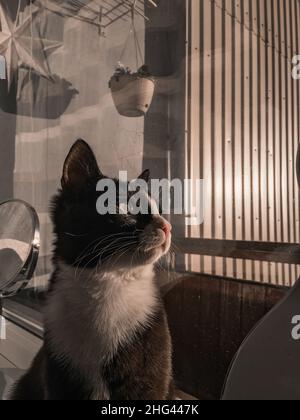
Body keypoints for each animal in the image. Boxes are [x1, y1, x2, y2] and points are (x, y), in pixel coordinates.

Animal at [11, 139, 173, 398]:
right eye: (125, 208)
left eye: (158, 211)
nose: (167, 226)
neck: (108, 283)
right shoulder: (59, 371)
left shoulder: (151, 370)